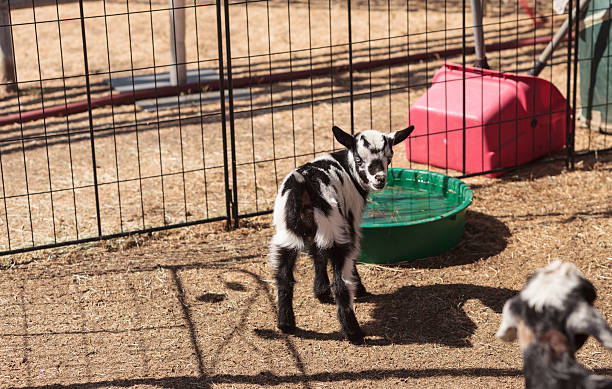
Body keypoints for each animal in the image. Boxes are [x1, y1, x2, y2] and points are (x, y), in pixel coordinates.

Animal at [270, 125, 414, 342]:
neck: (346, 167)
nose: (379, 179)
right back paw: (354, 332)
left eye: (389, 157)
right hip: (335, 231)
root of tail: (305, 187)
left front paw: (321, 292)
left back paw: (286, 324)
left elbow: (318, 256)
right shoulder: (350, 222)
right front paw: (360, 290)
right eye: (359, 159)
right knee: (341, 284)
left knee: (284, 277)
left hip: (287, 236)